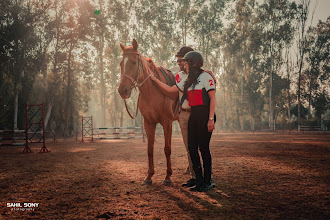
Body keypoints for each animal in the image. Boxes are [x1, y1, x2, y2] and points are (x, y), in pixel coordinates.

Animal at [118, 38, 178, 185]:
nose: (122, 90)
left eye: (134, 62)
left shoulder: (167, 123)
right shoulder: (148, 123)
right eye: (121, 63)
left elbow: (167, 148)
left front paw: (167, 177)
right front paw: (149, 176)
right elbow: (150, 149)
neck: (153, 92)